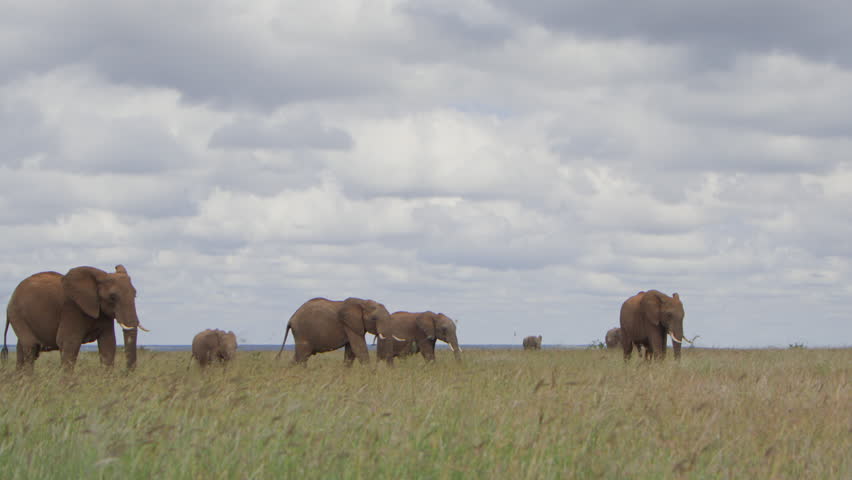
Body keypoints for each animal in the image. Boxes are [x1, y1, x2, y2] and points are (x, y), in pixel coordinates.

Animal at [2, 265, 148, 372]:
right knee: (31, 347)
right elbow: (69, 343)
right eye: (112, 297)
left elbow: (108, 344)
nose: (126, 374)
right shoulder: (71, 309)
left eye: (135, 294)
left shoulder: (103, 313)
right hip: (17, 314)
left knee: (21, 349)